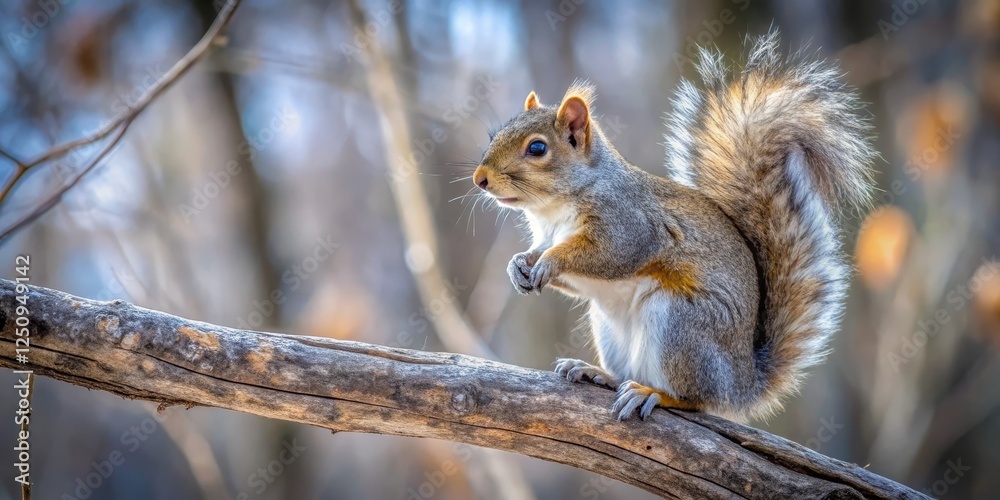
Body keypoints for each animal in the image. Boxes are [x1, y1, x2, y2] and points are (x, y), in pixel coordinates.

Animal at [470, 30, 875, 422]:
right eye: (494, 135)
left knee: (696, 400)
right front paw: (518, 264)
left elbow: (609, 254)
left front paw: (552, 261)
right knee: (627, 373)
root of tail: (742, 384)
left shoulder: (630, 223)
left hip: (679, 324)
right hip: (610, 326)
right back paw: (598, 373)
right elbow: (544, 257)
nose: (480, 179)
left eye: (537, 149)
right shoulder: (547, 234)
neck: (552, 209)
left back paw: (654, 394)